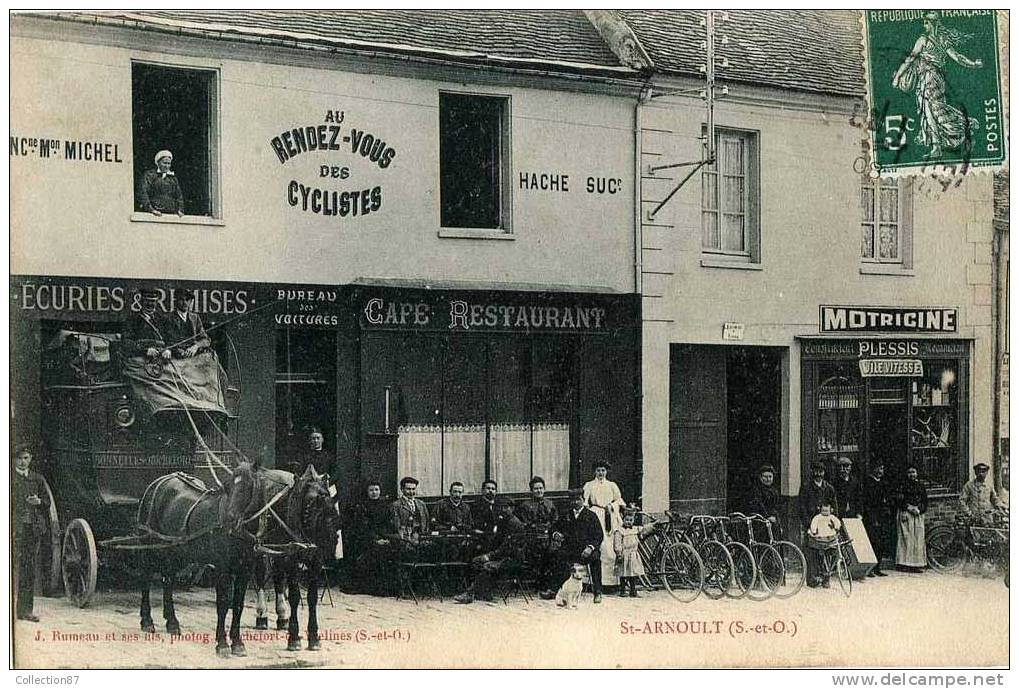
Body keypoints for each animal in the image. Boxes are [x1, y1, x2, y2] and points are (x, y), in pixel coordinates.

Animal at [135, 460, 271, 660]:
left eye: (249, 486)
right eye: (228, 486)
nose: (230, 519)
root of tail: (159, 481)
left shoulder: (245, 570)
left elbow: (238, 604)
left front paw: (238, 643)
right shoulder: (222, 569)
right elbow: (223, 604)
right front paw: (222, 643)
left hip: (176, 551)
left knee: (168, 580)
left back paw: (172, 622)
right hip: (150, 546)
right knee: (146, 578)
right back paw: (147, 621)